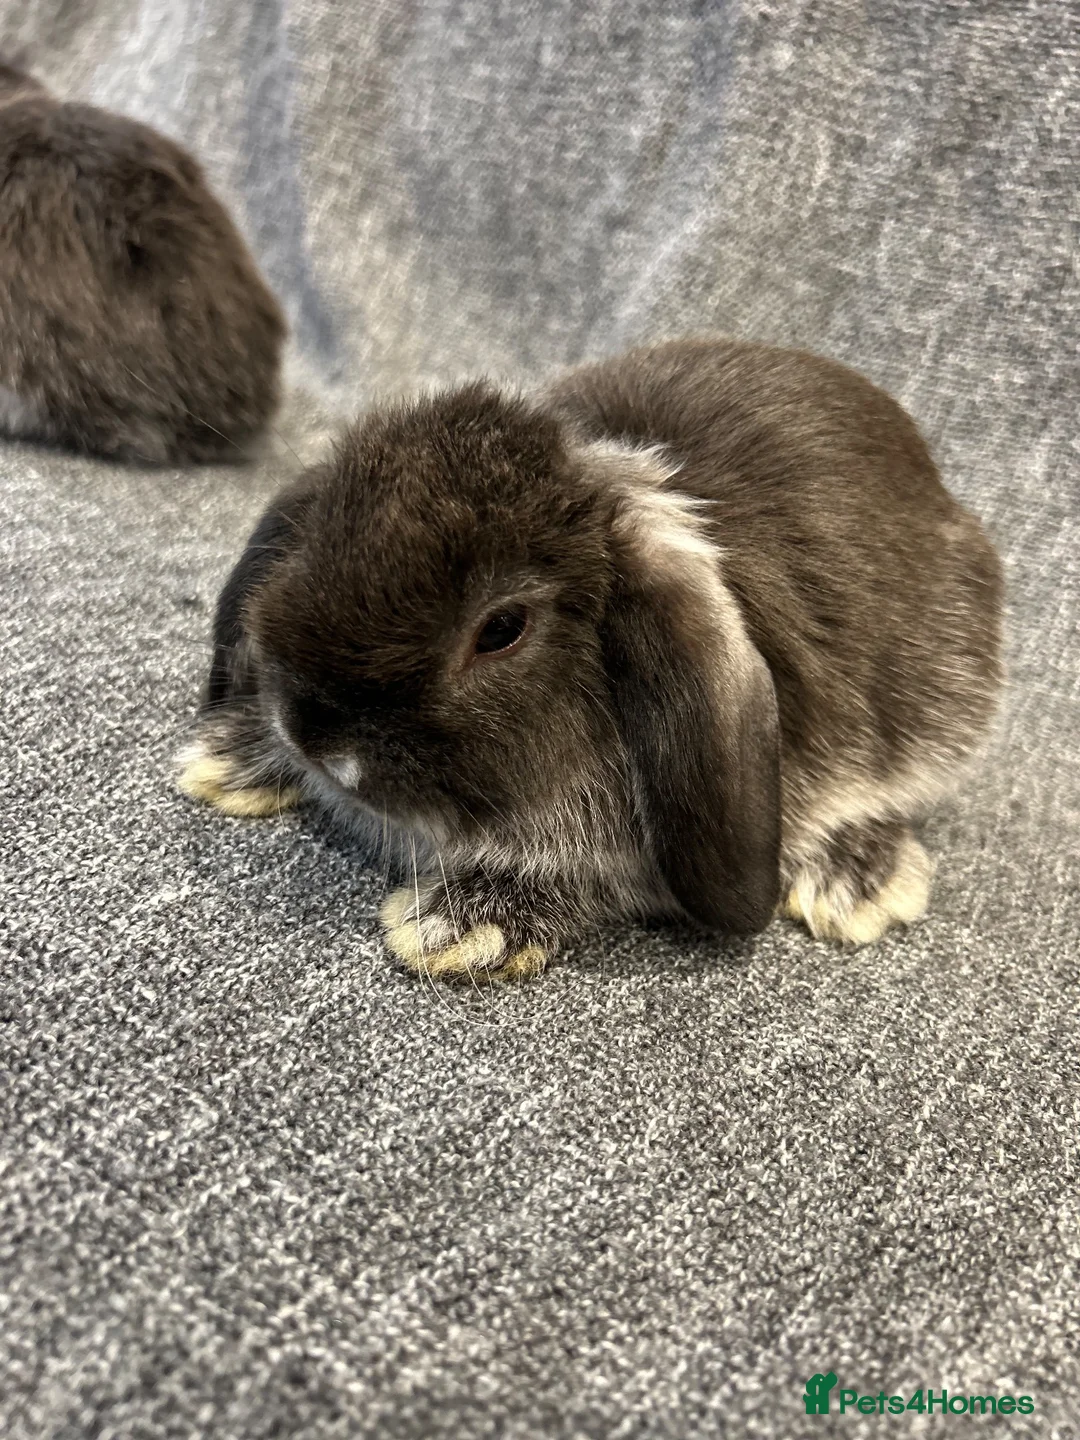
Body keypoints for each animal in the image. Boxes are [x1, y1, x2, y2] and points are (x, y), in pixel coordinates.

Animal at [177, 336, 1004, 980]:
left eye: (501, 629)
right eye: (315, 540)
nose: (313, 734)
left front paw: (463, 927)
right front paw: (234, 757)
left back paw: (856, 878)